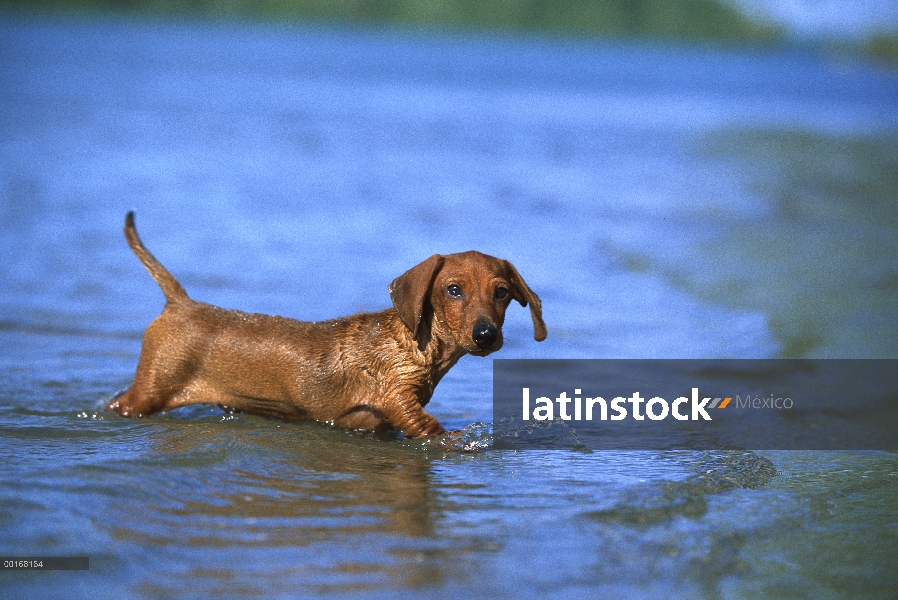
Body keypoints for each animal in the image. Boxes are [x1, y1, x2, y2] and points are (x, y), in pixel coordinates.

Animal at [110, 213, 544, 438]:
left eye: (502, 292)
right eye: (453, 289)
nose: (486, 335)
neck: (413, 344)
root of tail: (180, 303)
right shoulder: (399, 403)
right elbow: (433, 431)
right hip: (149, 392)